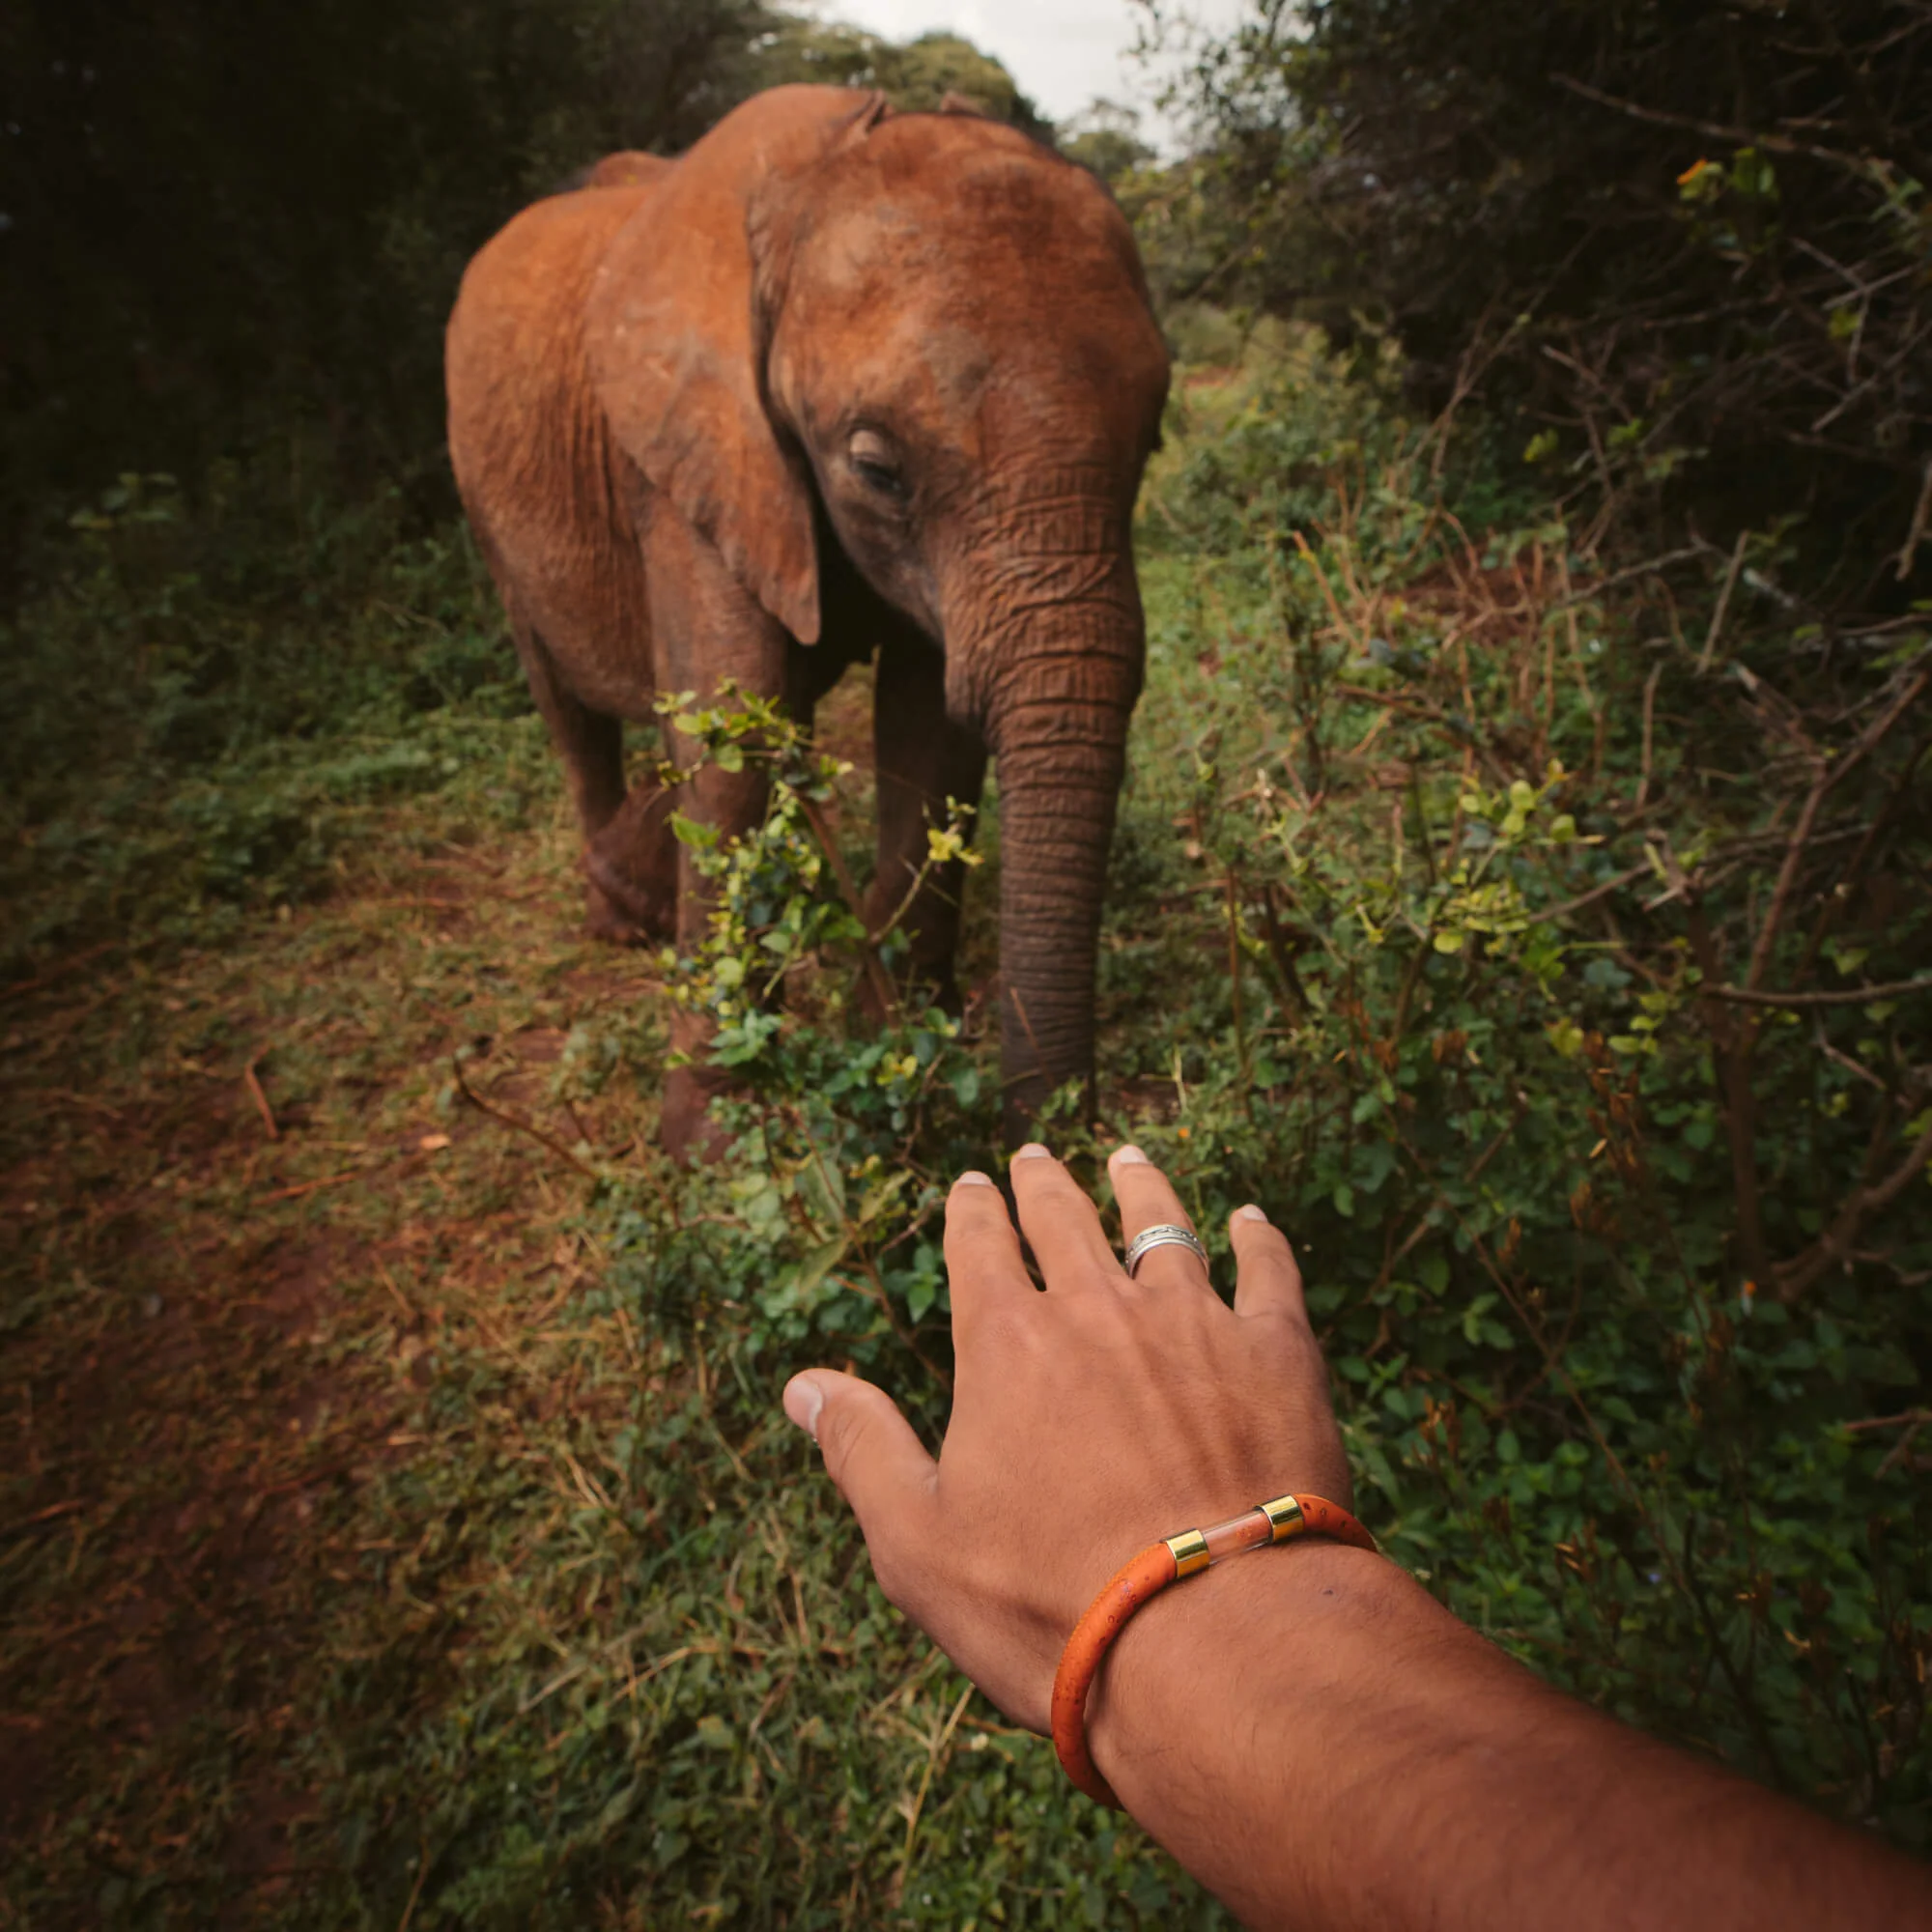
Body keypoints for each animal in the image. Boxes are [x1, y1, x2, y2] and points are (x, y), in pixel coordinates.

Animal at [445, 85, 1171, 1155]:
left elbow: (927, 729)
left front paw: (895, 1049)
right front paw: (719, 1139)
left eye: (1152, 439)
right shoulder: (690, 454)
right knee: (567, 706)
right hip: (486, 502)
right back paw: (619, 918)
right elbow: (732, 737)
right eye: (875, 468)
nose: (1057, 1144)